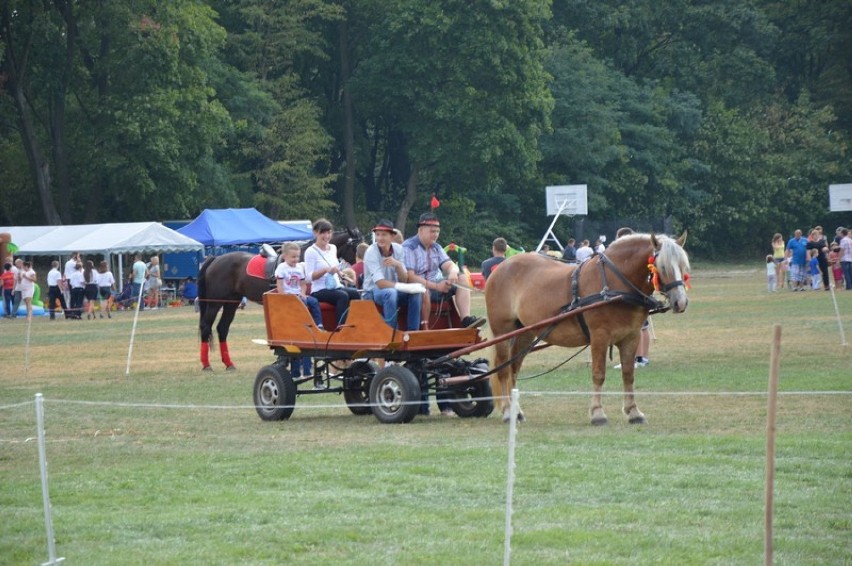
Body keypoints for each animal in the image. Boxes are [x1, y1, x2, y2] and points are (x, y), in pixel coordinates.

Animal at [197, 229, 362, 370]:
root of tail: (215, 259)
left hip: (231, 303)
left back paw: (228, 363)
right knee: (206, 326)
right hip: (215, 303)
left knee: (222, 328)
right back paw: (206, 364)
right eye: (355, 246)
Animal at [482, 232, 688, 426]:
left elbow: (628, 375)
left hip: (525, 333)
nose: (681, 302)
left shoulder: (631, 337)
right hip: (503, 331)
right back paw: (508, 411)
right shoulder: (599, 336)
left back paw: (517, 411)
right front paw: (598, 413)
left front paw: (634, 412)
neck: (614, 282)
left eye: (683, 267)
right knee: (503, 369)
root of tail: (501, 268)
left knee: (513, 369)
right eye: (663, 267)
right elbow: (599, 374)